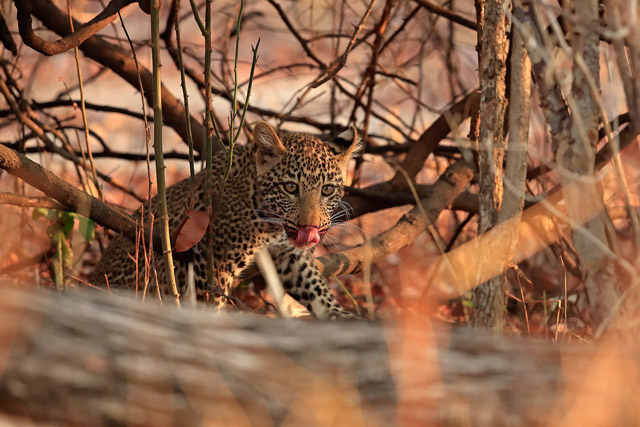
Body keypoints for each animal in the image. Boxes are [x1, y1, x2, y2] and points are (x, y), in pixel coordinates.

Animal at [90, 121, 362, 319]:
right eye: (290, 187)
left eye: (327, 190)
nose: (310, 227)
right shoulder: (215, 263)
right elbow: (211, 305)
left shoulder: (289, 255)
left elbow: (315, 286)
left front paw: (341, 316)